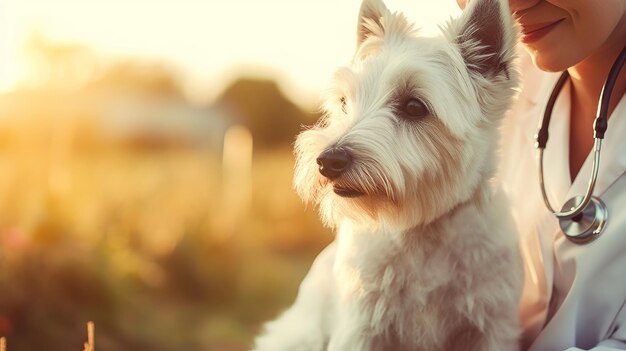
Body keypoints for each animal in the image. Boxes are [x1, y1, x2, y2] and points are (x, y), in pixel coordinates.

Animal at [254, 0, 520, 350]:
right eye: (344, 101)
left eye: (414, 106)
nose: (327, 161)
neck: (422, 227)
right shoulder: (362, 328)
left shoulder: (491, 326)